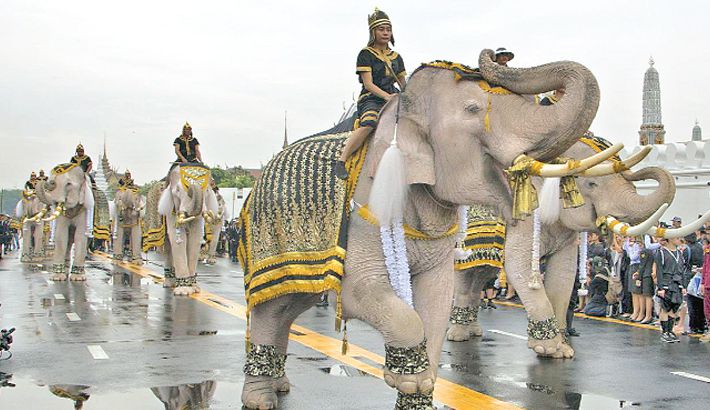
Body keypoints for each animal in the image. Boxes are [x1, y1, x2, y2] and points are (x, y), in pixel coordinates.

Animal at [159, 163, 220, 294]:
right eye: (177, 190)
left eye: (207, 191)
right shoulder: (172, 209)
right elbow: (178, 238)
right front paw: (183, 290)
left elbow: (195, 238)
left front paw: (194, 288)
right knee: (168, 245)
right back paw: (169, 283)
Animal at [239, 48, 616, 410]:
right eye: (472, 109)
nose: (496, 54)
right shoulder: (365, 210)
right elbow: (359, 291)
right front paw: (409, 376)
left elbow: (438, 297)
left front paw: (417, 390)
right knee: (271, 309)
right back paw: (260, 400)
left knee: (289, 306)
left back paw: (279, 385)